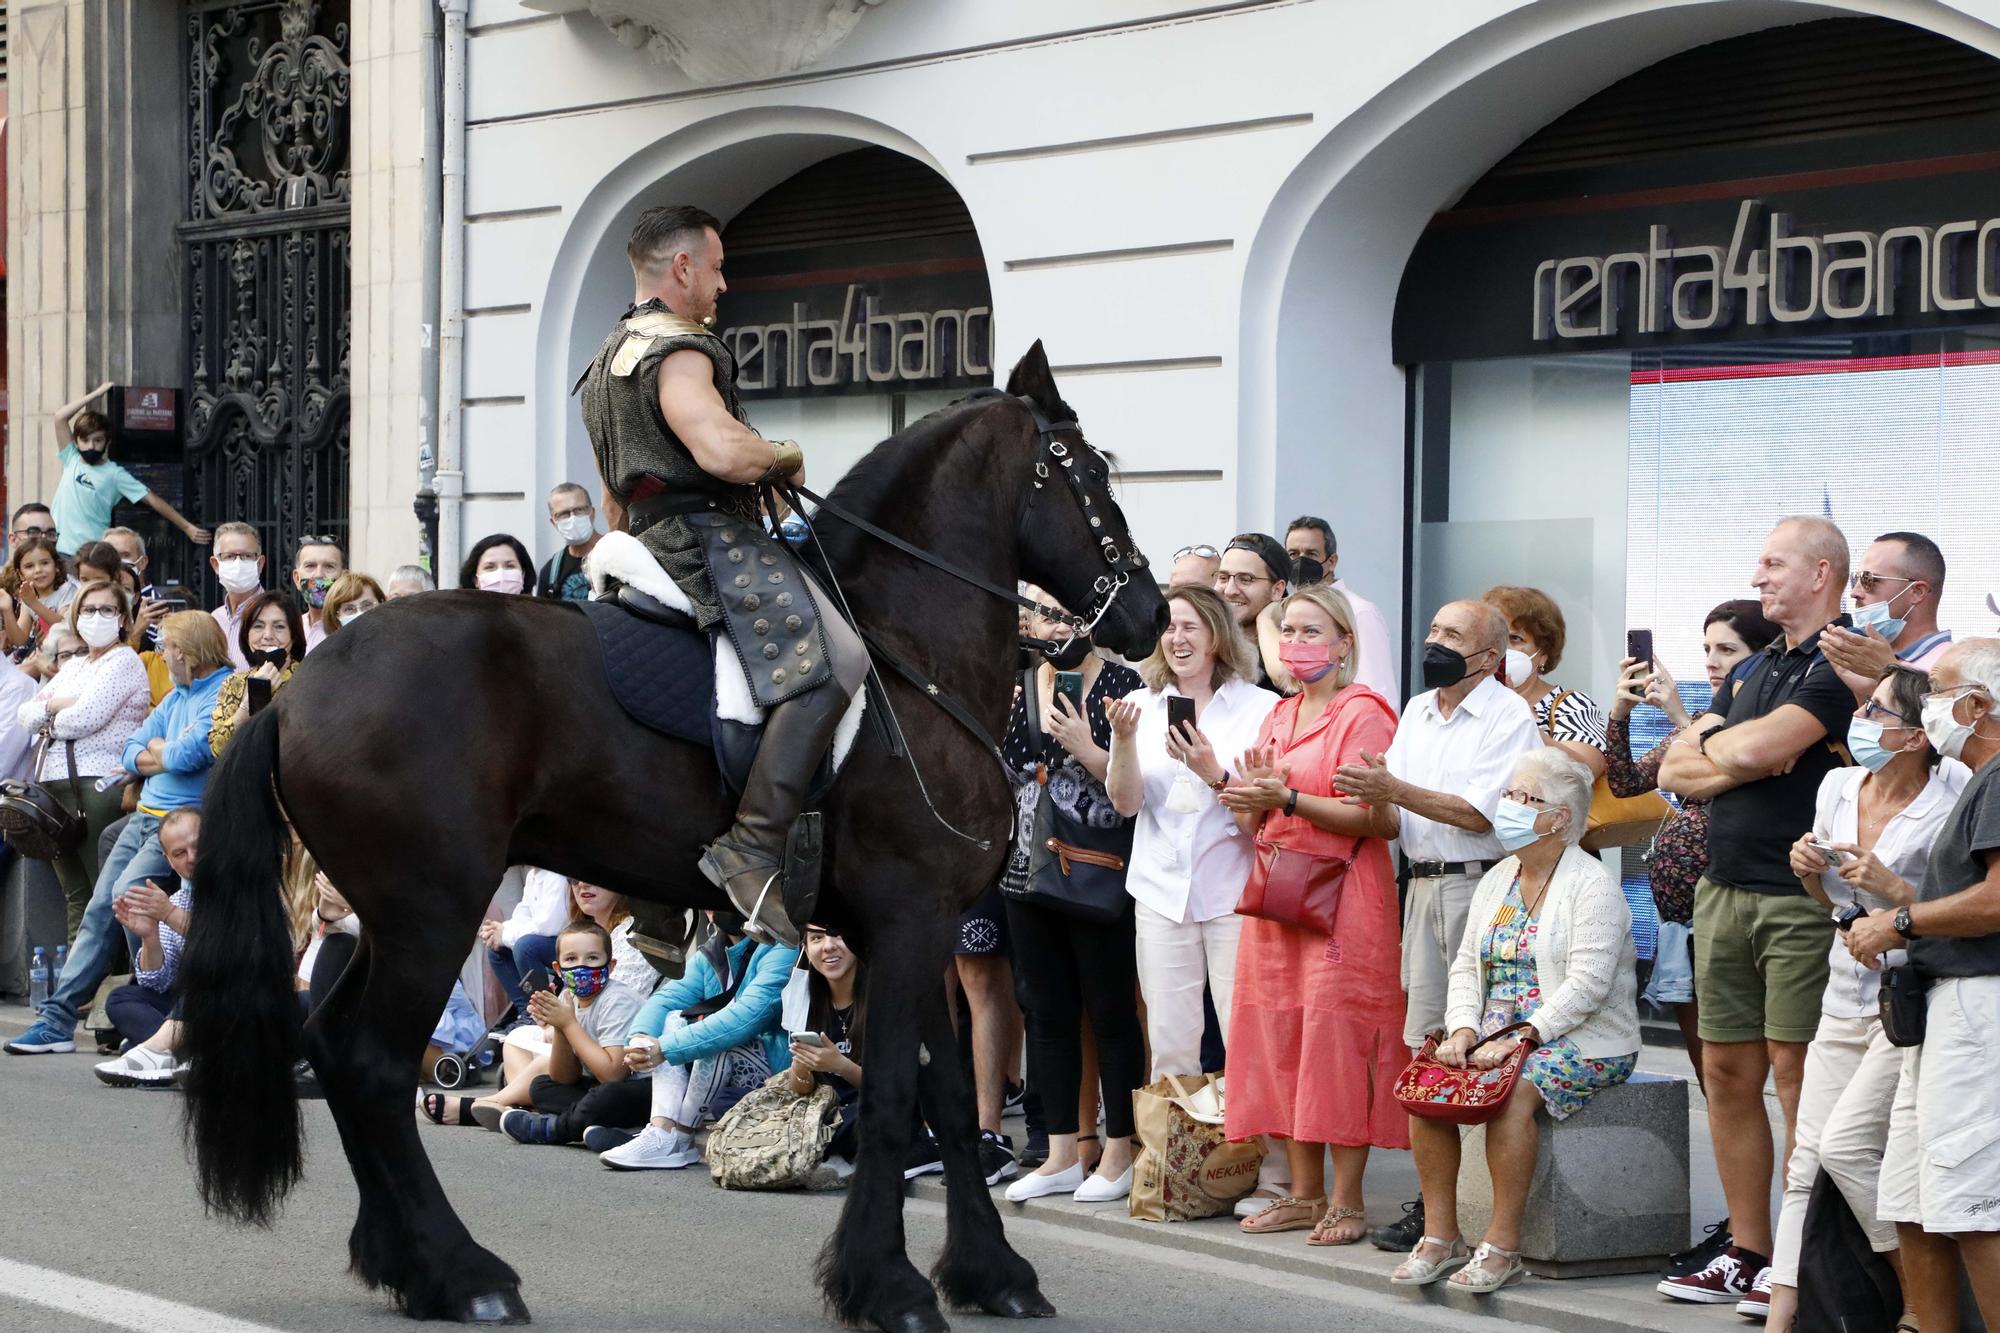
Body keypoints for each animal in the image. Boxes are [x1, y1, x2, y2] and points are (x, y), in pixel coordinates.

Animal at [176, 342, 1168, 1328]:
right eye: (1090, 472)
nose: (1150, 613)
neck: (907, 653)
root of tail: (291, 691)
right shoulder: (909, 915)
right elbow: (895, 1095)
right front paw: (891, 1285)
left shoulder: (916, 928)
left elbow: (952, 1098)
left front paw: (990, 1271)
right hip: (429, 913)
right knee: (375, 1064)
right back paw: (463, 1273)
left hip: (386, 920)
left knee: (336, 1049)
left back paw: (405, 1260)